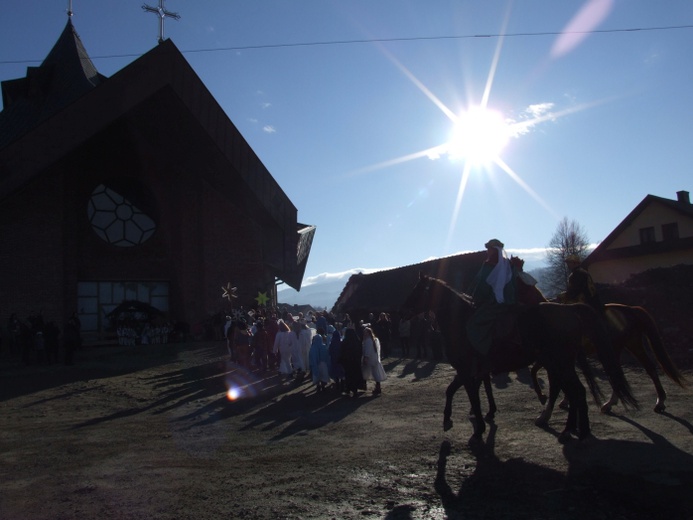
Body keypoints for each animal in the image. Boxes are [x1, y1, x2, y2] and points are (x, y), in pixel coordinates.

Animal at [398, 274, 636, 440]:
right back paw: (572, 427)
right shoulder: (467, 371)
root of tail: (569, 311)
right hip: (559, 364)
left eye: (417, 291)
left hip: (560, 363)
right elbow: (451, 390)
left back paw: (573, 429)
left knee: (575, 391)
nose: (400, 312)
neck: (462, 322)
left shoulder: (467, 371)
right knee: (572, 391)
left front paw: (478, 427)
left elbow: (472, 397)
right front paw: (449, 419)